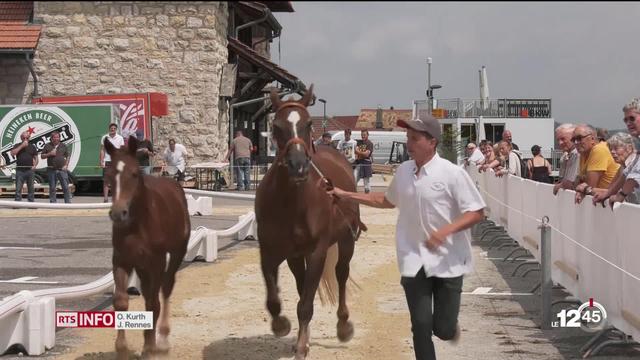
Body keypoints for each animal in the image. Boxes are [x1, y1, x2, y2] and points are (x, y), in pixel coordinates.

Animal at [103, 136, 190, 358]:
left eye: (134, 174)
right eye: (109, 175)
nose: (118, 213)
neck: (139, 223)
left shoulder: (156, 262)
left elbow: (153, 303)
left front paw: (150, 347)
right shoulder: (121, 260)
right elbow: (121, 301)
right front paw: (122, 348)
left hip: (175, 254)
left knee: (165, 288)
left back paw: (163, 339)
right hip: (141, 266)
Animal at [254, 86, 364, 358]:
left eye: (307, 124)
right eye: (276, 126)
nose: (298, 166)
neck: (293, 202)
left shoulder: (317, 252)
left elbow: (306, 304)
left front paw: (302, 346)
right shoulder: (271, 252)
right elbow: (276, 299)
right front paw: (282, 326)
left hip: (346, 242)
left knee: (341, 274)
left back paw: (343, 325)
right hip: (297, 256)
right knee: (302, 285)